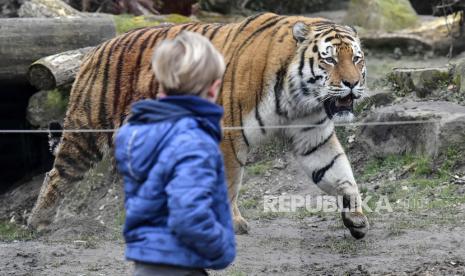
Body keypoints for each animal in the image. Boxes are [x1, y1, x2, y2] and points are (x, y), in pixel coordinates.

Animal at [28, 12, 370, 237]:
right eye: (329, 59)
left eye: (357, 58)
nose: (352, 84)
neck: (298, 98)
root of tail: (95, 49)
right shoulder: (229, 137)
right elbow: (230, 184)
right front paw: (232, 224)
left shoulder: (313, 134)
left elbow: (339, 172)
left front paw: (356, 218)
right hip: (86, 132)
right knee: (57, 174)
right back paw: (38, 222)